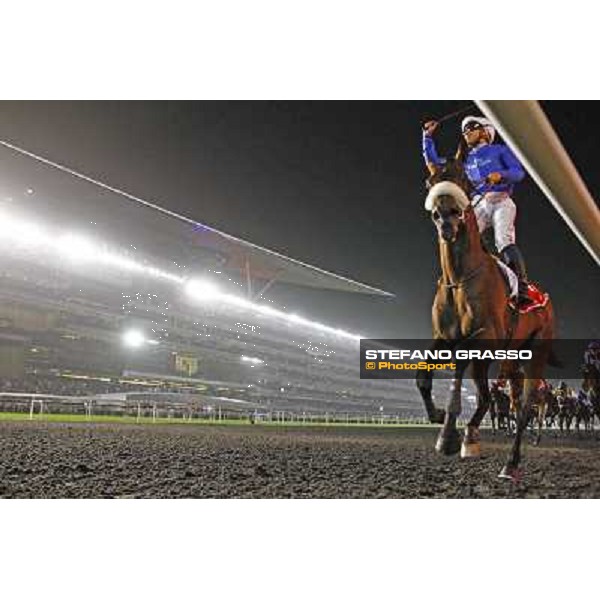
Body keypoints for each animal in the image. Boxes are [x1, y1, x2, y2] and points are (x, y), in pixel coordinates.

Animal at [418, 159, 556, 482]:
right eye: (430, 182)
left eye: (463, 180)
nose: (445, 216)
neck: (459, 278)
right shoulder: (443, 336)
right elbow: (423, 374)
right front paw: (438, 416)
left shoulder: (484, 336)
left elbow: (458, 364)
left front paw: (447, 436)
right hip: (504, 359)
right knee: (488, 397)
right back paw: (472, 435)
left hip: (535, 354)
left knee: (525, 407)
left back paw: (511, 462)